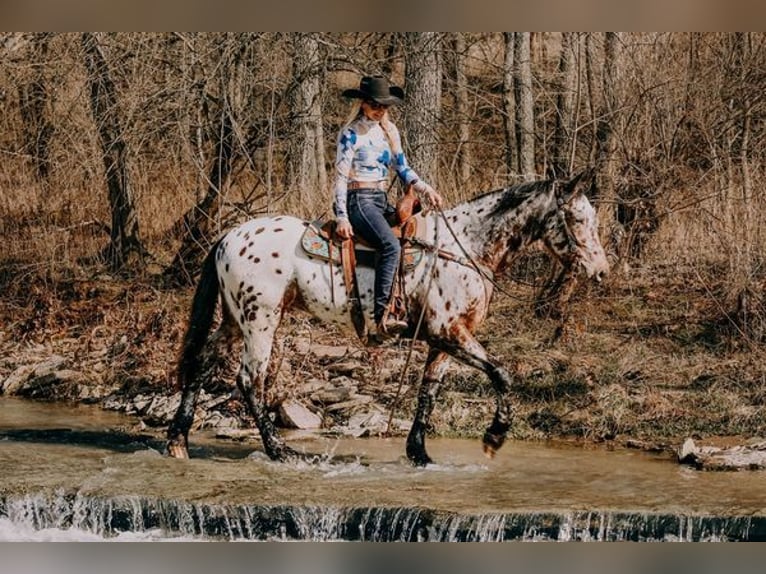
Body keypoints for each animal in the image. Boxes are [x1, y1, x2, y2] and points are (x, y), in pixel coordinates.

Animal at [168, 170, 612, 468]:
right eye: (577, 219)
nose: (601, 271)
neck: (465, 248)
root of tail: (228, 236)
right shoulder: (449, 332)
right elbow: (502, 374)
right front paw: (494, 436)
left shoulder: (443, 341)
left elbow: (428, 392)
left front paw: (420, 453)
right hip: (261, 320)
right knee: (250, 380)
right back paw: (281, 451)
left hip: (234, 320)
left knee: (203, 363)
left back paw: (178, 439)